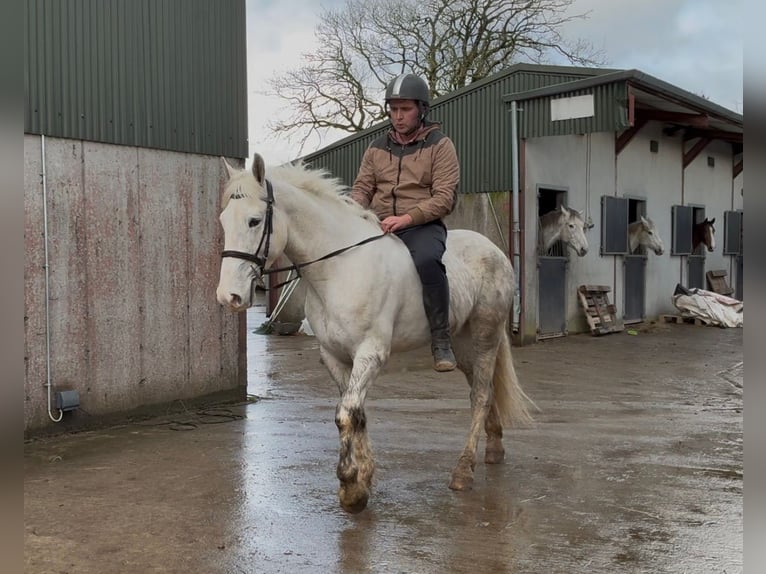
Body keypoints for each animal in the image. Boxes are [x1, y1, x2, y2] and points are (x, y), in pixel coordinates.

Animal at [216, 154, 535, 513]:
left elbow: (345, 415)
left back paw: (463, 471)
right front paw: (364, 477)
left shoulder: (370, 353)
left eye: (254, 221)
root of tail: (495, 251)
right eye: (224, 221)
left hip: (484, 336)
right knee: (485, 390)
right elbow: (357, 413)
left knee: (480, 396)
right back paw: (494, 449)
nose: (228, 296)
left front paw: (351, 488)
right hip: (463, 344)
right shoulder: (335, 356)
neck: (339, 268)